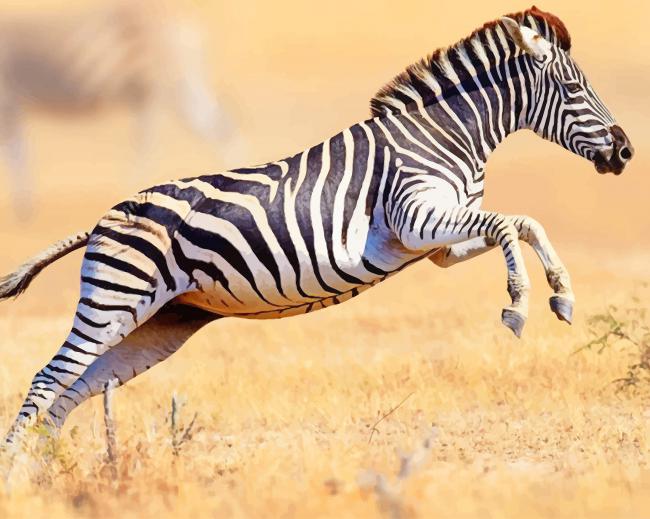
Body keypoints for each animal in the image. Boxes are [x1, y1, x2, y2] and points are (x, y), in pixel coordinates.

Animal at [0, 1, 235, 216]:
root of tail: (185, 23)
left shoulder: (8, 101)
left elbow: (15, 155)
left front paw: (23, 208)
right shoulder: (11, 103)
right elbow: (18, 154)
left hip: (172, 85)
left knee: (212, 131)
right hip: (161, 89)